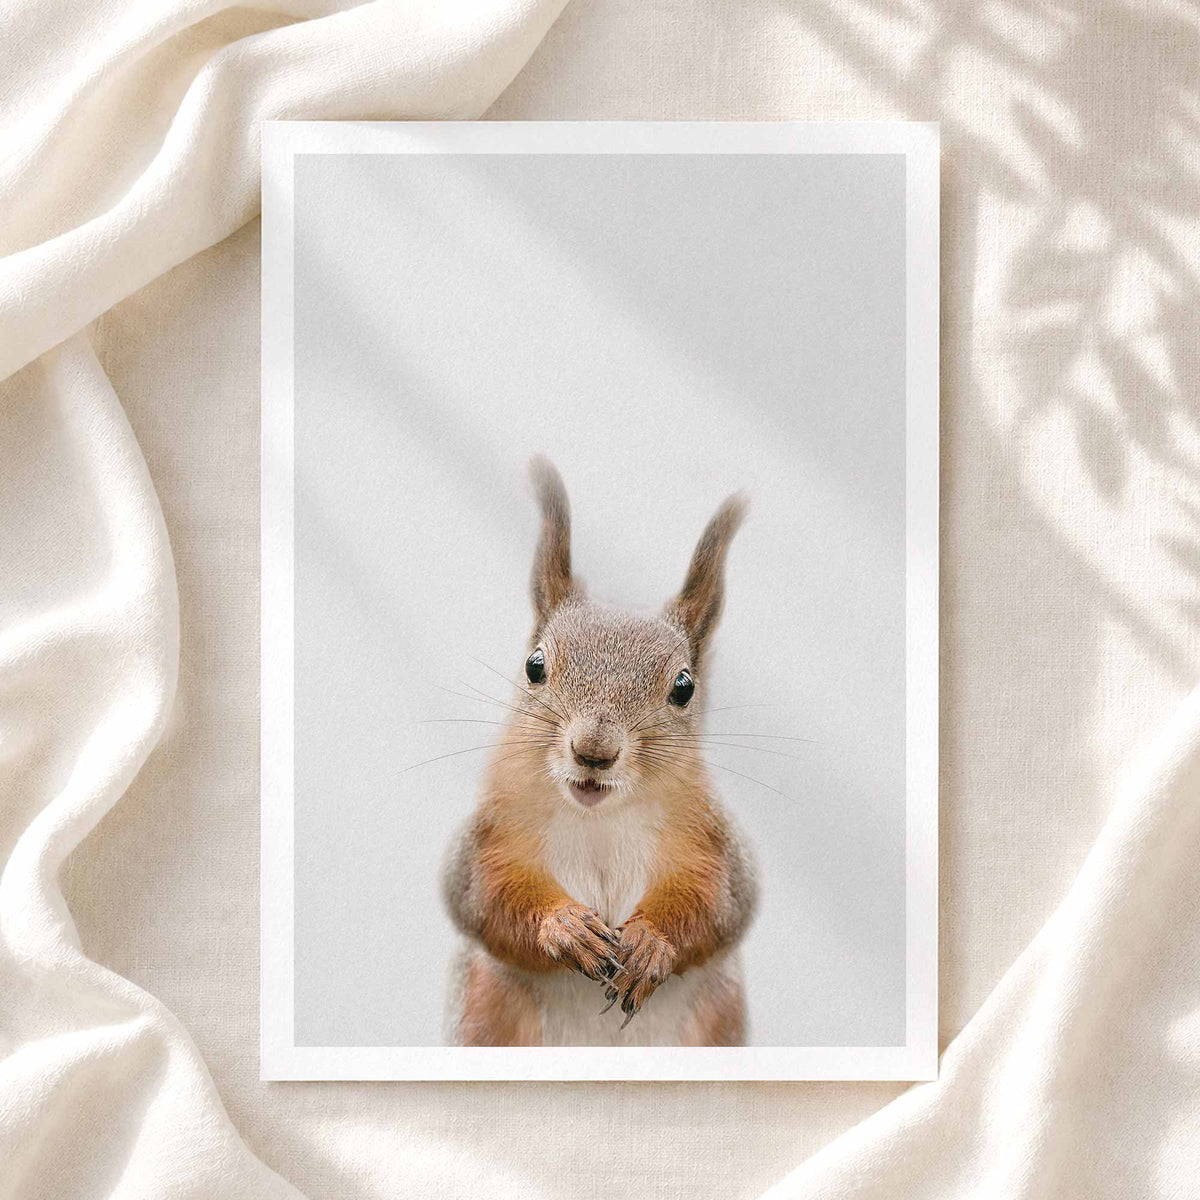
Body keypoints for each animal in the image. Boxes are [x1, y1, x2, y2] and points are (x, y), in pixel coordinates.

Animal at [442, 457, 757, 1047]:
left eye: (684, 687)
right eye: (534, 666)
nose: (594, 750)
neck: (600, 822)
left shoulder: (714, 844)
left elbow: (720, 904)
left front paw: (651, 943)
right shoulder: (489, 835)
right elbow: (481, 896)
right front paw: (564, 927)